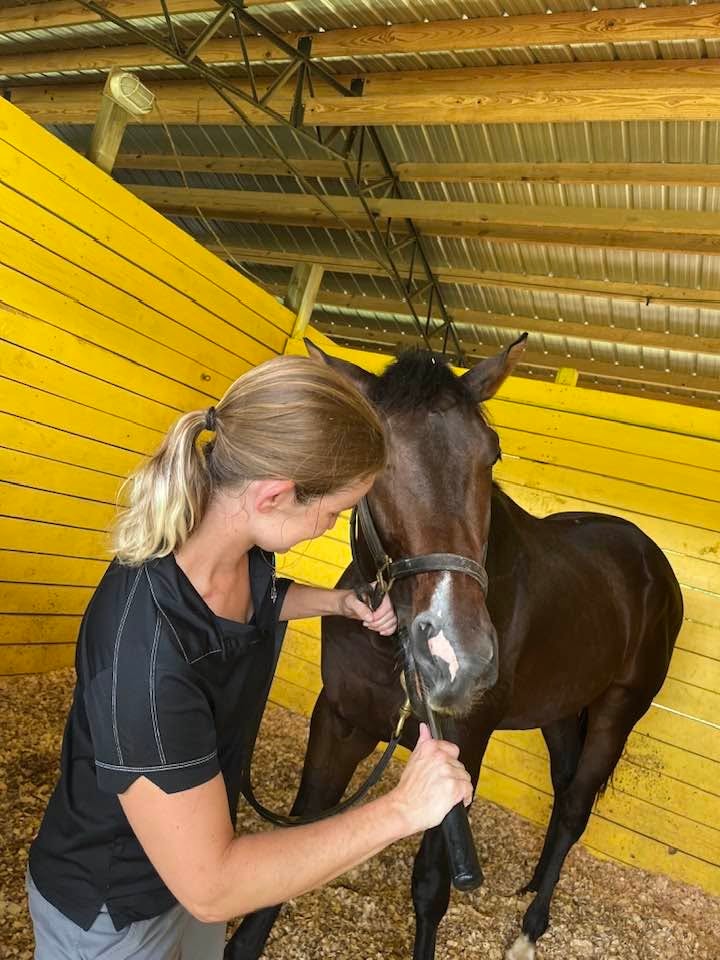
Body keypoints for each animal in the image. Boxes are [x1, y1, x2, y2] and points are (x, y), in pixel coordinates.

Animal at [225, 337, 683, 960]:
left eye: (492, 455)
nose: (456, 655)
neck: (391, 645)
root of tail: (651, 561)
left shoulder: (461, 747)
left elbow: (430, 886)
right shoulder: (340, 720)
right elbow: (301, 833)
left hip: (618, 711)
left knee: (574, 808)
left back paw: (530, 928)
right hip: (561, 711)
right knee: (564, 789)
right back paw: (531, 885)